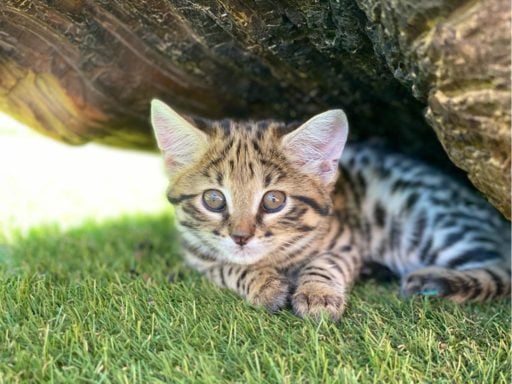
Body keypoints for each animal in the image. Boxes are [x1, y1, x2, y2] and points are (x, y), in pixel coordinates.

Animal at [150, 100, 510, 320]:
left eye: (273, 200)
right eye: (213, 199)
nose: (241, 237)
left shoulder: (348, 244)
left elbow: (325, 263)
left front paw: (317, 293)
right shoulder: (198, 257)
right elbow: (227, 267)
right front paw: (264, 283)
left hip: (430, 224)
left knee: (501, 271)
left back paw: (433, 280)